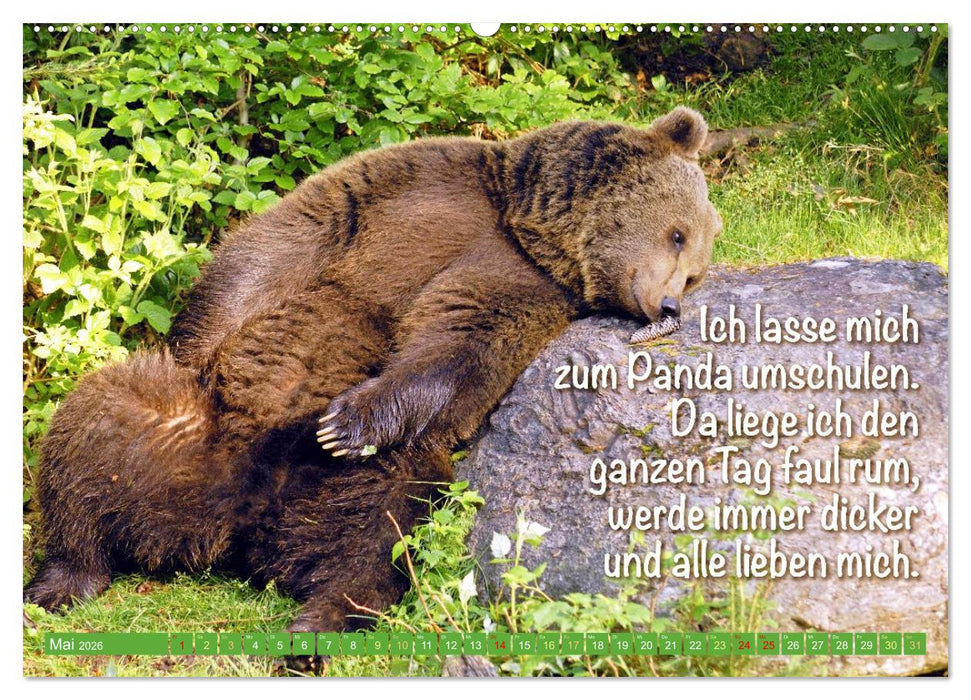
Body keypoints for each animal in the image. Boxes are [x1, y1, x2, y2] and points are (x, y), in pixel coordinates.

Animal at [25, 107, 722, 636]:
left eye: (695, 271)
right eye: (679, 234)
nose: (669, 306)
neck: (528, 227)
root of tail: (235, 520)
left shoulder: (524, 291)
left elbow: (458, 343)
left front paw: (347, 421)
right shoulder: (414, 190)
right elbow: (271, 251)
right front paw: (201, 338)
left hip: (365, 479)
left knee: (379, 532)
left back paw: (315, 624)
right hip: (182, 425)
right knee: (95, 427)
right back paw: (57, 582)